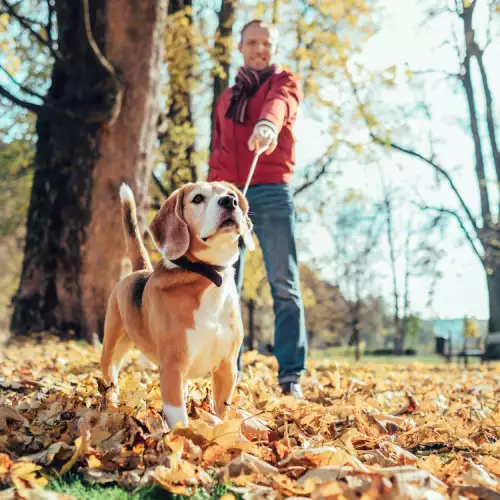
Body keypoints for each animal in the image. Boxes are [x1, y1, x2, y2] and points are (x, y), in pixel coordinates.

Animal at [99, 181, 254, 430]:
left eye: (231, 195)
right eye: (198, 198)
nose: (229, 202)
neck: (209, 276)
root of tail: (140, 270)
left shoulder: (227, 367)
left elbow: (221, 412)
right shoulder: (173, 366)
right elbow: (180, 420)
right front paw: (184, 439)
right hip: (112, 346)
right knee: (110, 379)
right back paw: (111, 407)